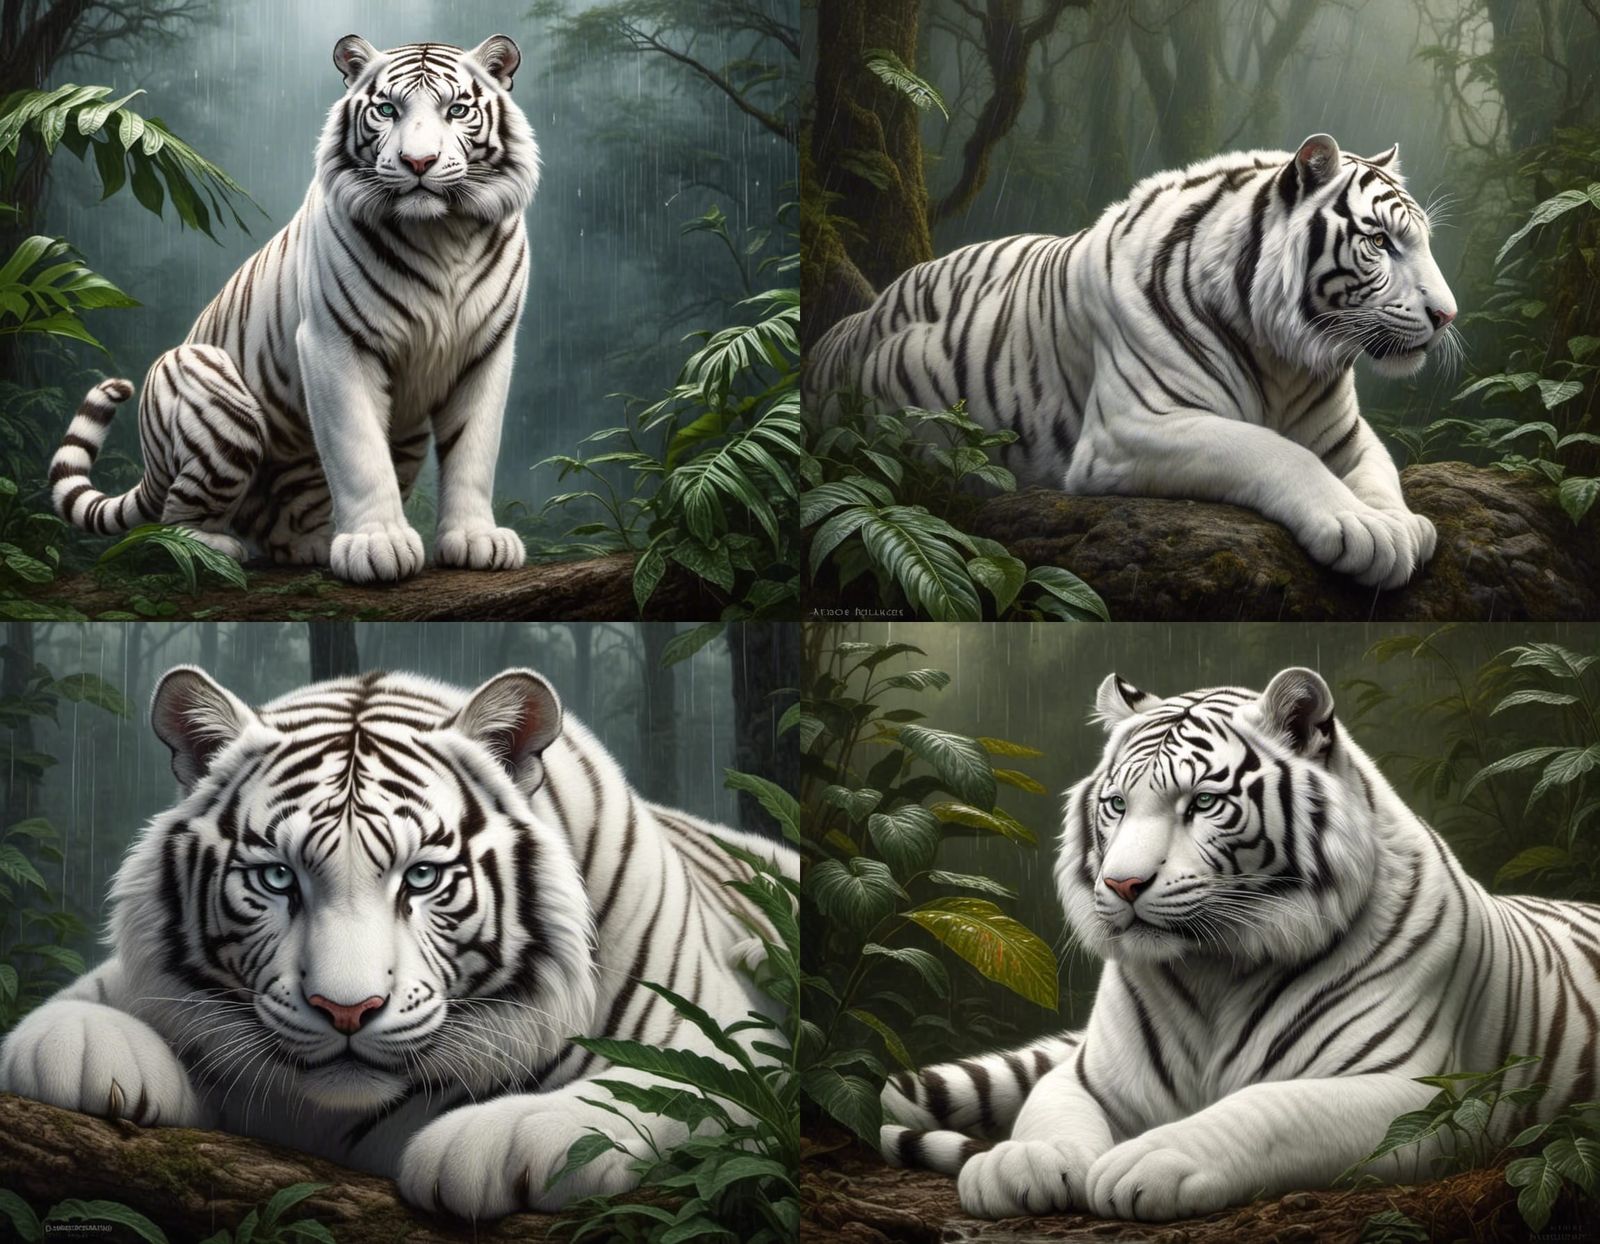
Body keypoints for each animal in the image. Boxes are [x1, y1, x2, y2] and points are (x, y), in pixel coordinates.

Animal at [0, 666, 796, 1218]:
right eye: (278, 876)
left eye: (421, 876)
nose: (346, 1011)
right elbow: (66, 1013)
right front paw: (87, 1054)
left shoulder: (736, 1044)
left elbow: (663, 1080)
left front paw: (493, 1141)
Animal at [49, 35, 537, 584]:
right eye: (387, 110)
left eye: (457, 111)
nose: (419, 162)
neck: (442, 233)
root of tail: (151, 460)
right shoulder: (335, 342)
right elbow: (359, 451)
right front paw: (377, 544)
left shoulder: (487, 350)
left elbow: (473, 450)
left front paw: (475, 539)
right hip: (216, 397)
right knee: (171, 519)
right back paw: (209, 548)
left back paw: (310, 544)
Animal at [806, 135, 1460, 591]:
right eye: (1379, 242)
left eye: (1424, 241)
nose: (1447, 314)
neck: (1284, 358)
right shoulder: (1133, 428)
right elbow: (1275, 451)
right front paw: (1364, 529)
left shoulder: (1347, 434)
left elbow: (1379, 471)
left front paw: (1403, 524)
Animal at [877, 667, 1599, 1221]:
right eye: (1116, 804)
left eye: (1201, 802)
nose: (1122, 883)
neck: (1211, 968)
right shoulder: (1091, 1076)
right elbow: (1048, 1109)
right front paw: (1024, 1162)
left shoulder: (1425, 1094)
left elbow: (1271, 1108)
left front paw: (1151, 1158)